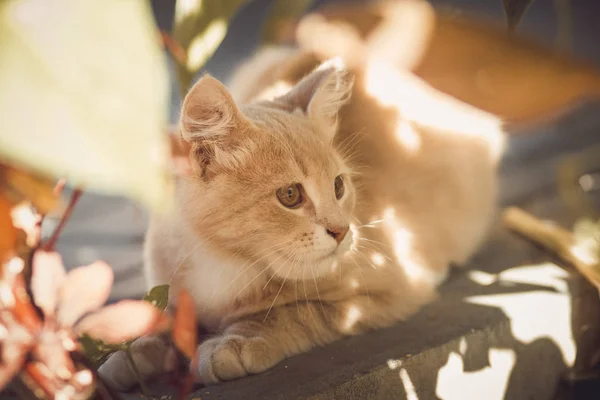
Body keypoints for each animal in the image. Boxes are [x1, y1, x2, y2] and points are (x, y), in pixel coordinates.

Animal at [101, 47, 504, 388]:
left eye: (339, 186)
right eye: (290, 195)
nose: (341, 230)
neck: (222, 264)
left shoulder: (391, 286)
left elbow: (296, 312)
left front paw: (237, 341)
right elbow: (163, 316)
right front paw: (134, 349)